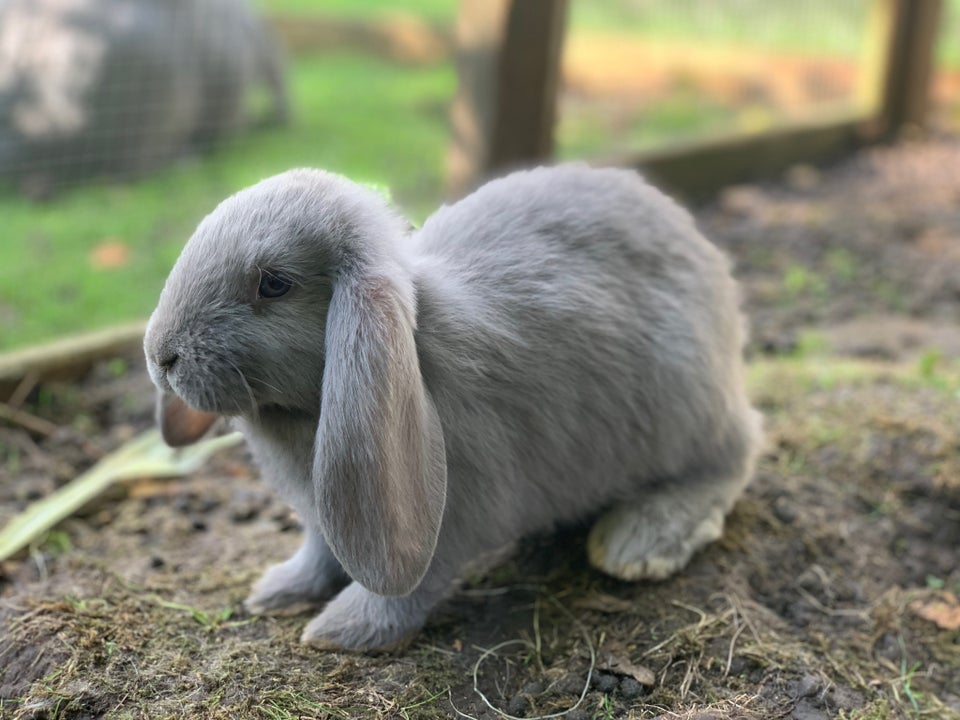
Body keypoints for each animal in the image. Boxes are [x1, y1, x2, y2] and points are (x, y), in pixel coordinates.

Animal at [144, 165, 764, 652]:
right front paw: (278, 592)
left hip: (687, 408)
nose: (161, 355)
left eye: (274, 284)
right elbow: (319, 553)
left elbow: (409, 585)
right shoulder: (323, 518)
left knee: (732, 462)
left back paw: (639, 542)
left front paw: (343, 631)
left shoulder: (446, 517)